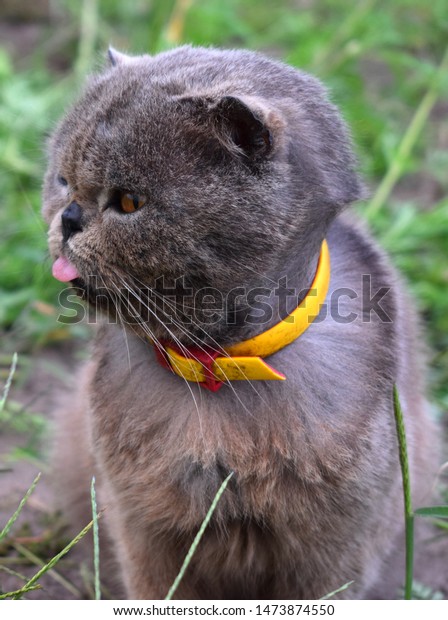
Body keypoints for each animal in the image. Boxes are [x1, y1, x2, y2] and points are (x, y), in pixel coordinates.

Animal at [43, 47, 438, 600]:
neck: (222, 363)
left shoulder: (338, 544)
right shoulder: (142, 524)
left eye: (129, 203)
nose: (70, 217)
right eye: (62, 180)